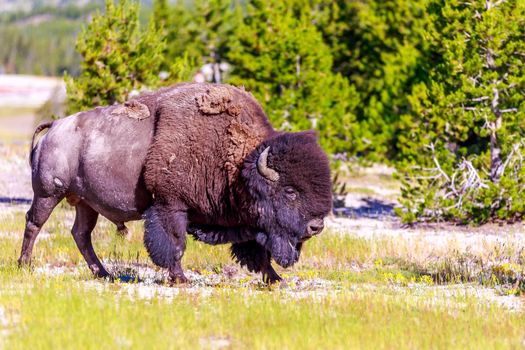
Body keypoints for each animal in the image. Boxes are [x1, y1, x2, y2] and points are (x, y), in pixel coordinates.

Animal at [20, 82, 332, 284]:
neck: (238, 163)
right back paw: (25, 265)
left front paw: (276, 279)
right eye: (290, 191)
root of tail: (55, 126)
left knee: (80, 234)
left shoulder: (250, 222)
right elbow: (175, 244)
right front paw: (180, 279)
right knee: (34, 223)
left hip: (86, 203)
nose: (316, 226)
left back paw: (103, 273)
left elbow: (259, 252)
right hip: (48, 193)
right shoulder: (171, 206)